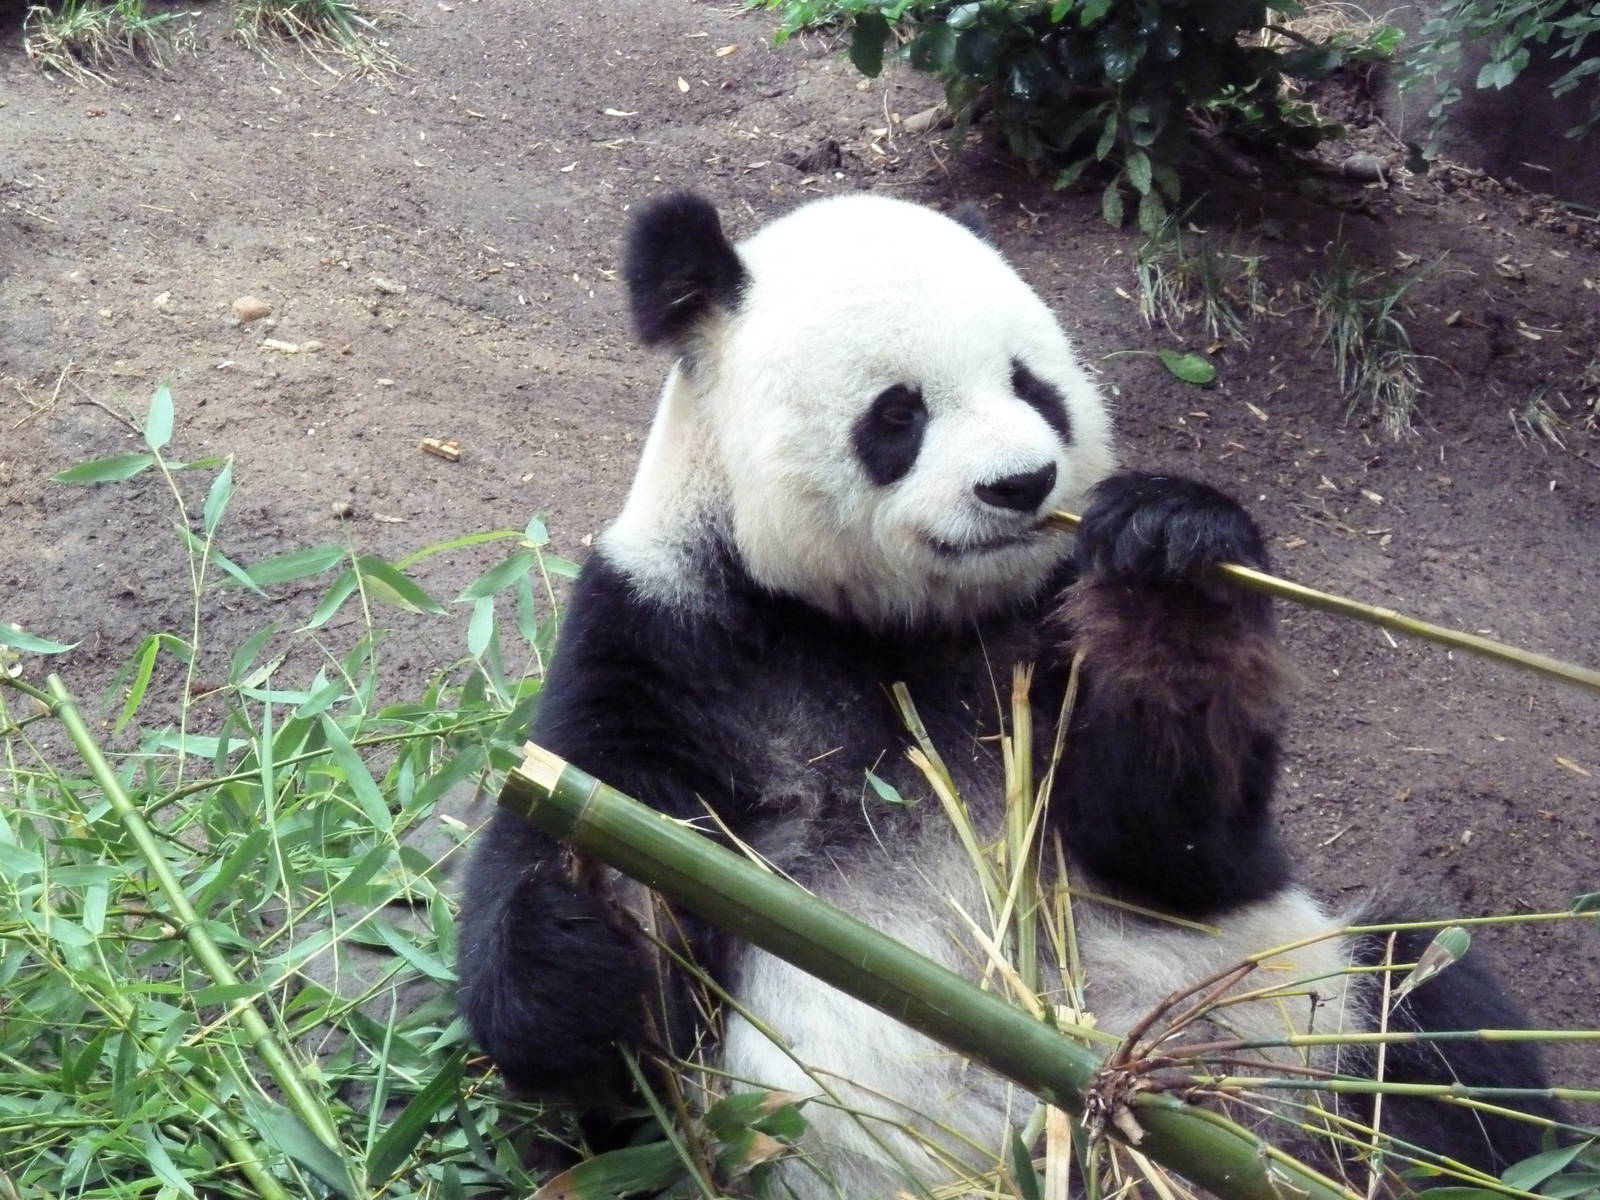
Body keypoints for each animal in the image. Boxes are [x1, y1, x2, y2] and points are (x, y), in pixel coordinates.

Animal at [458, 191, 1558, 1196]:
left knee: (1439, 1037)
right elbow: (586, 980)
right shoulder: (668, 642)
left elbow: (1178, 849)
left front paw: (1168, 566)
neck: (891, 623)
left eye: (1035, 386)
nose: (1022, 484)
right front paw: (586, 926)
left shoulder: (1048, 622)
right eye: (897, 413)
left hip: (1302, 1030)